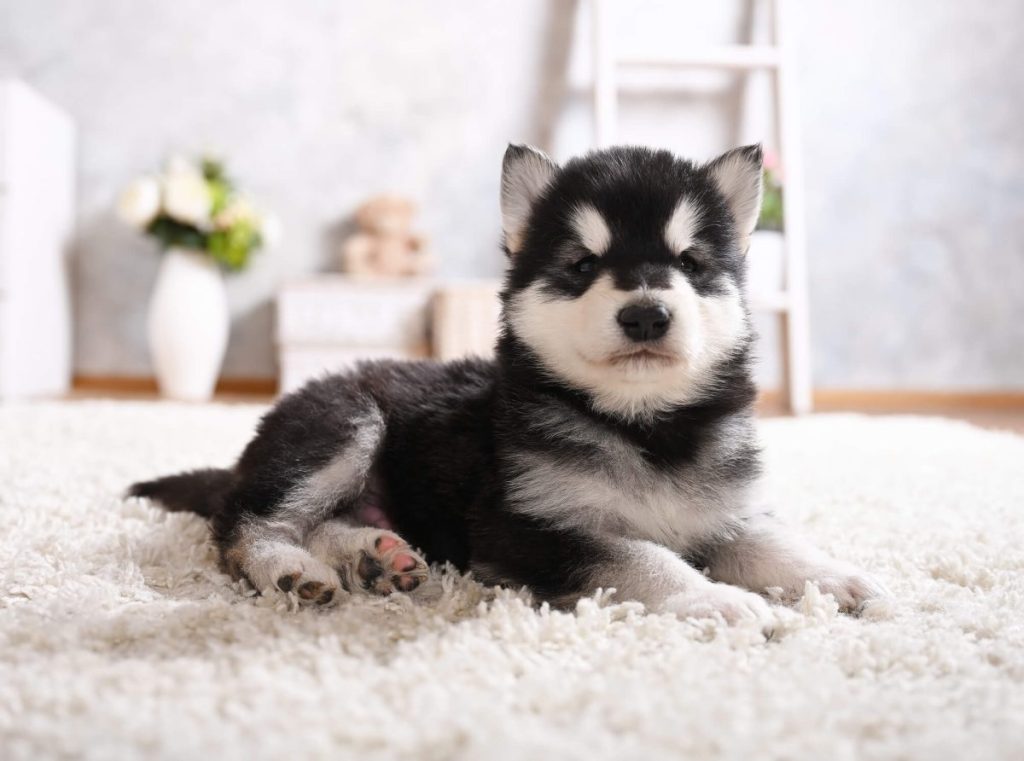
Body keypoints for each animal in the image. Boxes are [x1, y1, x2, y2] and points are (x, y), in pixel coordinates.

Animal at [128, 143, 884, 626]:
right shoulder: (528, 526)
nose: (645, 313)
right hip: (343, 422)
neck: (641, 424)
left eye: (690, 263)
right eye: (582, 265)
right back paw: (292, 569)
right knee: (244, 524)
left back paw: (374, 558)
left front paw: (836, 576)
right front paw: (714, 598)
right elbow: (640, 556)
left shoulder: (720, 510)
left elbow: (767, 541)